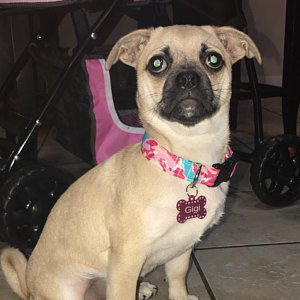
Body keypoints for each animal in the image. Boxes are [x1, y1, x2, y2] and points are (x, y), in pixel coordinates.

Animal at [0, 24, 260, 298]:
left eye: (213, 60)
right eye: (157, 63)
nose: (188, 79)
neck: (186, 164)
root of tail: (29, 290)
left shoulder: (182, 247)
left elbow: (177, 277)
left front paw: (179, 296)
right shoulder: (126, 259)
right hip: (70, 288)